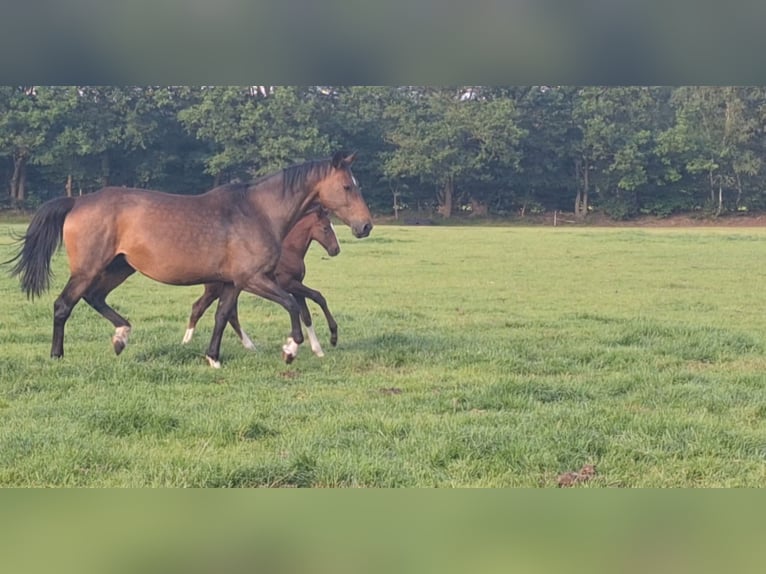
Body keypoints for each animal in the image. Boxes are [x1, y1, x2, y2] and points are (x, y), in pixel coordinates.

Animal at [183, 207, 342, 358]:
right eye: (325, 228)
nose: (336, 250)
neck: (290, 250)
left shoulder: (296, 285)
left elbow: (306, 316)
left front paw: (318, 350)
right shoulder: (289, 284)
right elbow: (318, 296)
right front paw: (333, 337)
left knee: (230, 314)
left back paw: (250, 346)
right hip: (215, 289)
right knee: (199, 307)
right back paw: (186, 341)